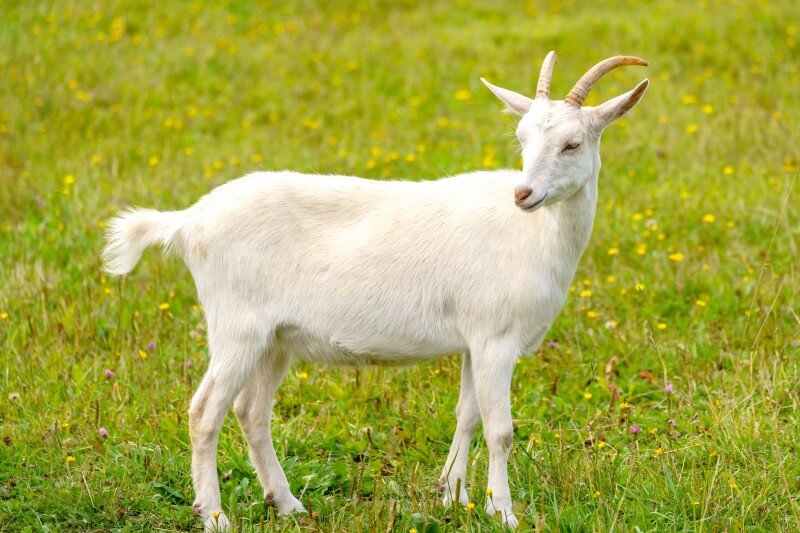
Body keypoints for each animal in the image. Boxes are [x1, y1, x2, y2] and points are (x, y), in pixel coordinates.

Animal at [103, 51, 649, 530]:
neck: (533, 235)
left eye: (572, 144)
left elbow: (467, 415)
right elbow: (500, 429)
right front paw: (504, 513)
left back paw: (288, 504)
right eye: (522, 138)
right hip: (237, 328)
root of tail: (189, 222)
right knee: (204, 412)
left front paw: (454, 495)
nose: (523, 194)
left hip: (274, 340)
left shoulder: (473, 341)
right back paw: (215, 516)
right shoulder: (496, 340)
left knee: (251, 412)